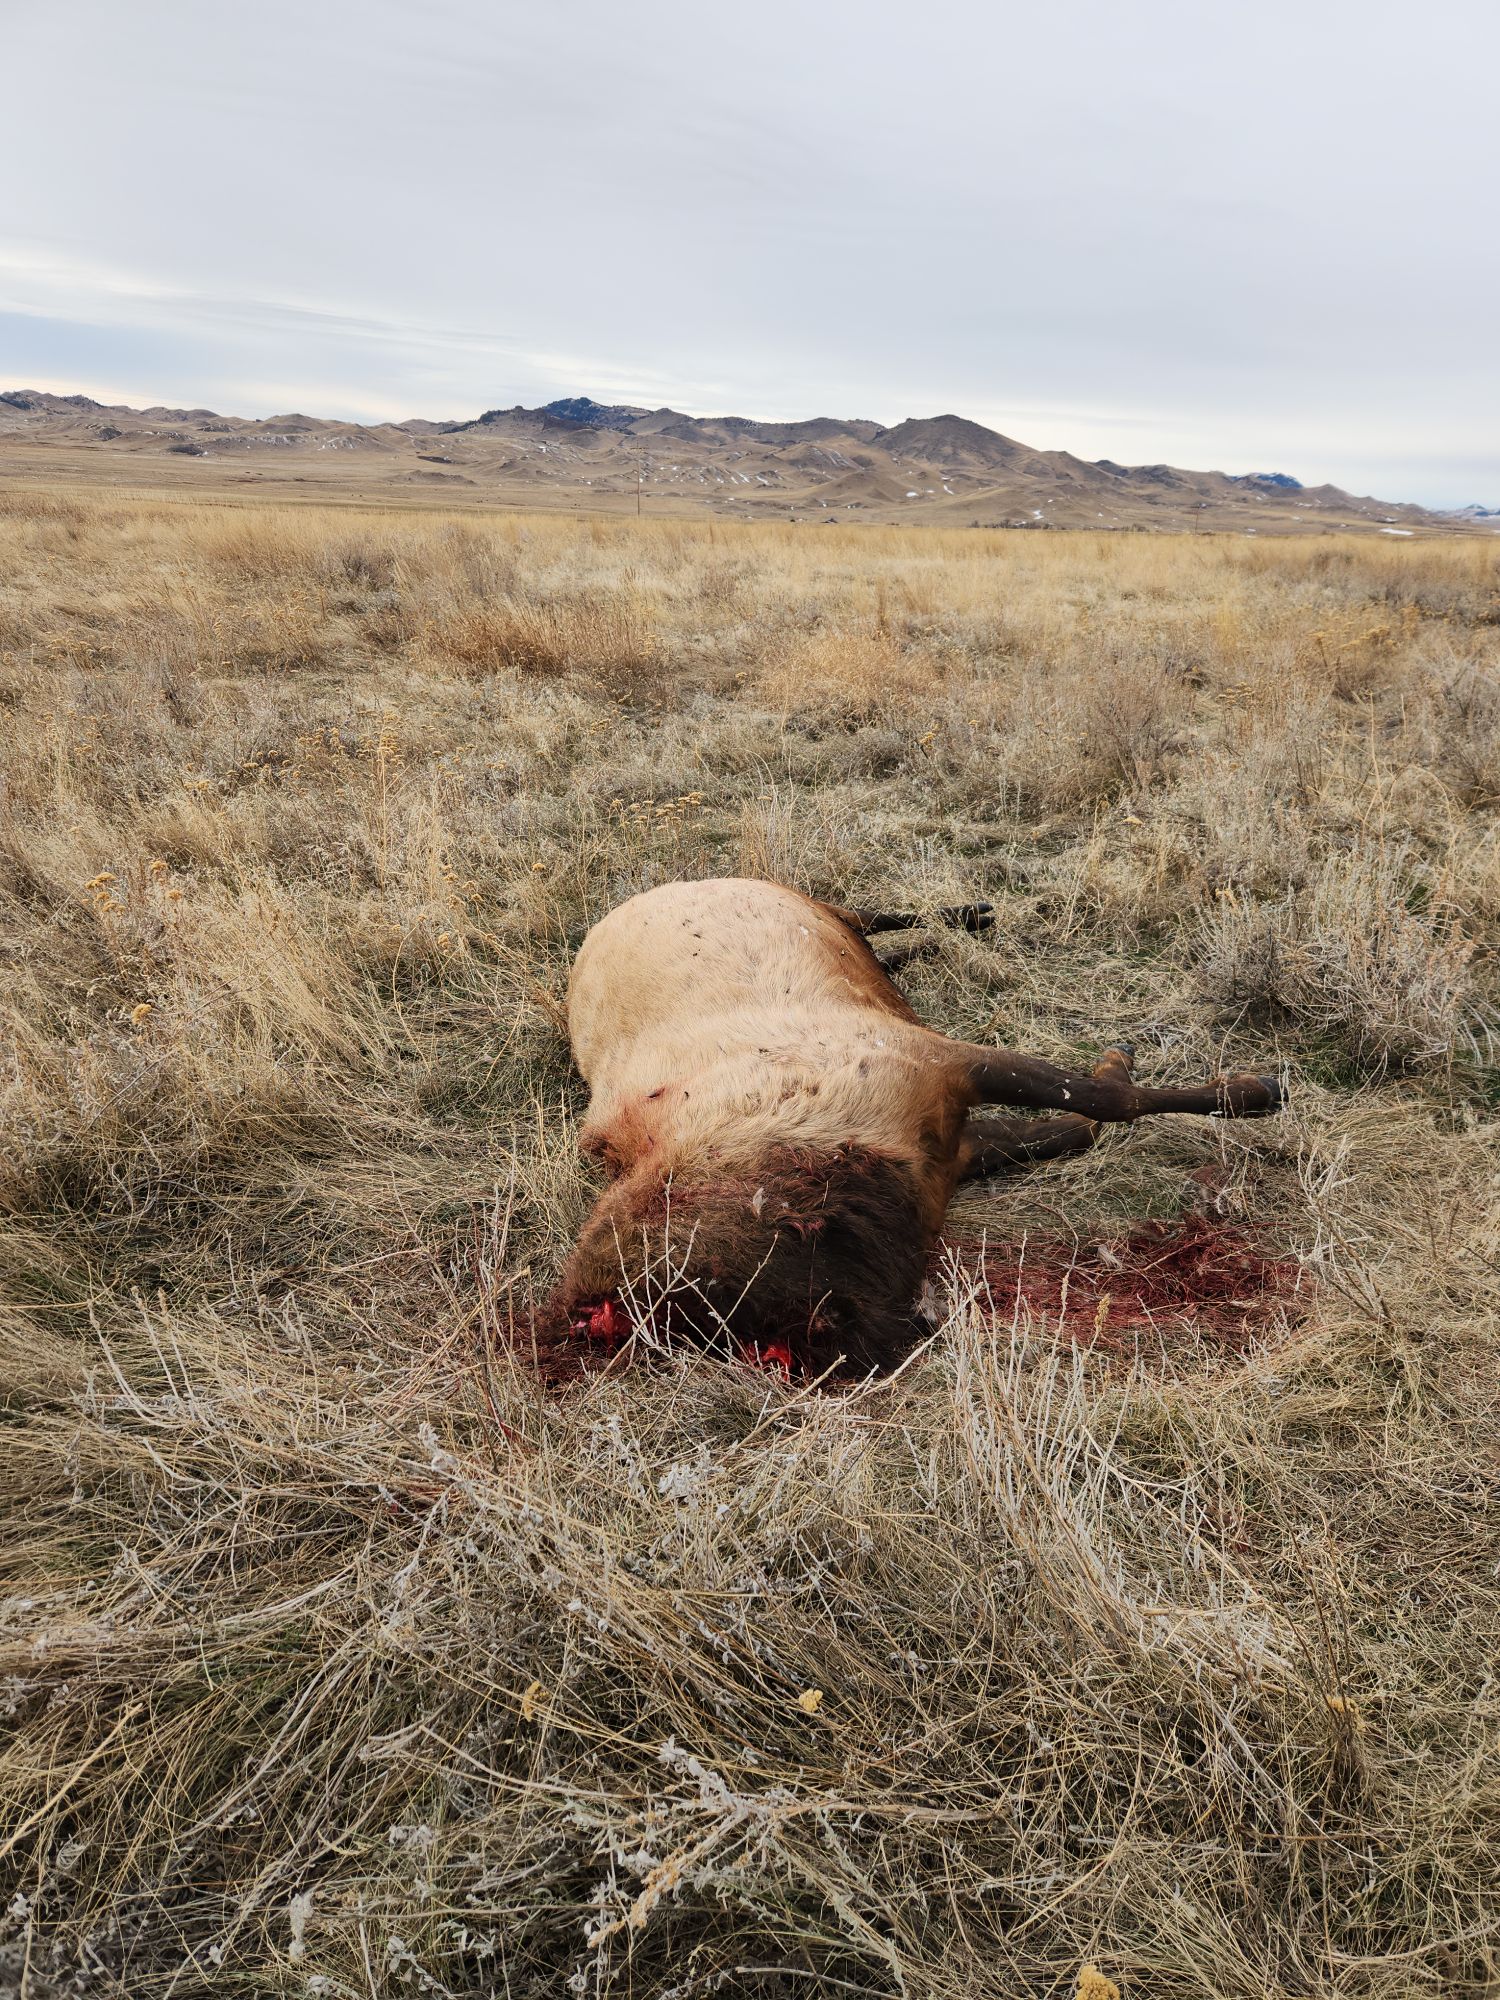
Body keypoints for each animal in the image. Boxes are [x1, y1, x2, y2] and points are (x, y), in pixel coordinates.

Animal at [539, 878, 1282, 1378]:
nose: (582, 1311)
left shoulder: (933, 1061)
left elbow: (1104, 1099)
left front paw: (1250, 1090)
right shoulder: (949, 1144)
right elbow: (1084, 1121)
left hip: (810, 901)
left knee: (869, 909)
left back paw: (971, 913)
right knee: (878, 934)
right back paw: (942, 935)